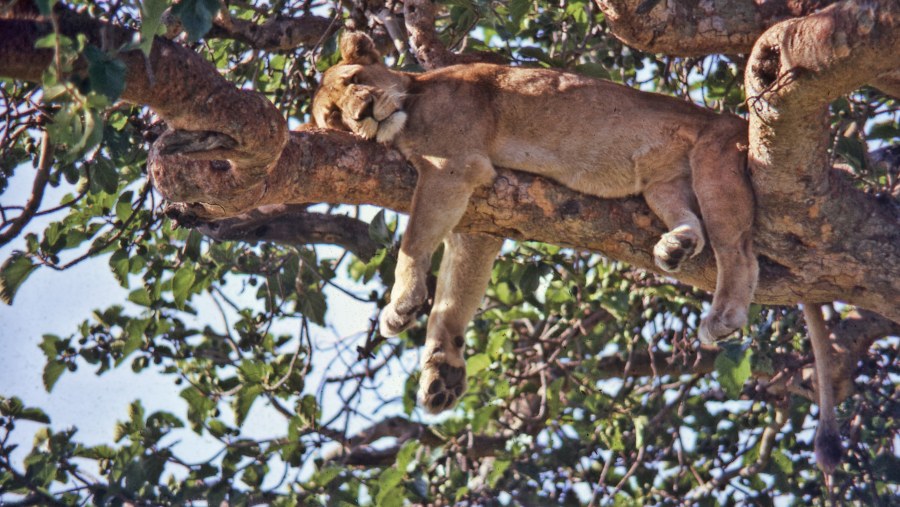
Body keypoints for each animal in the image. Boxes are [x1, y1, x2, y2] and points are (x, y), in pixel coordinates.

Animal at [312, 31, 756, 414]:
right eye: (334, 116)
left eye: (355, 80)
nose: (363, 113)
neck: (413, 97)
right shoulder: (475, 222)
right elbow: (453, 298)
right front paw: (442, 370)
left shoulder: (452, 166)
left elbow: (413, 242)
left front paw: (401, 304)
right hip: (663, 186)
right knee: (692, 223)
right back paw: (676, 245)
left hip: (715, 159)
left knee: (737, 252)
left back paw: (723, 317)